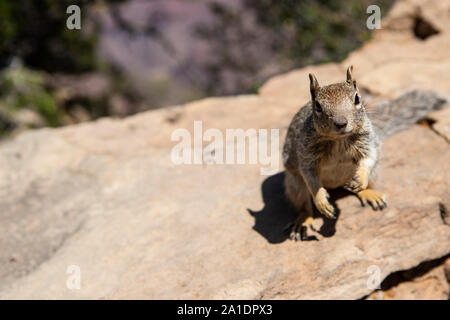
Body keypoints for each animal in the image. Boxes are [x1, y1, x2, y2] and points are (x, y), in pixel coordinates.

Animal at [284, 65, 444, 240]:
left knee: (364, 185)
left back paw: (369, 193)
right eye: (318, 106)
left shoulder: (368, 142)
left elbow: (369, 158)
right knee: (304, 205)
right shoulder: (306, 152)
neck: (339, 139)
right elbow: (309, 174)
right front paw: (321, 201)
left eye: (357, 99)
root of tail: (335, 185)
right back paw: (303, 221)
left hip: (375, 171)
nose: (341, 123)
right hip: (294, 184)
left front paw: (361, 180)